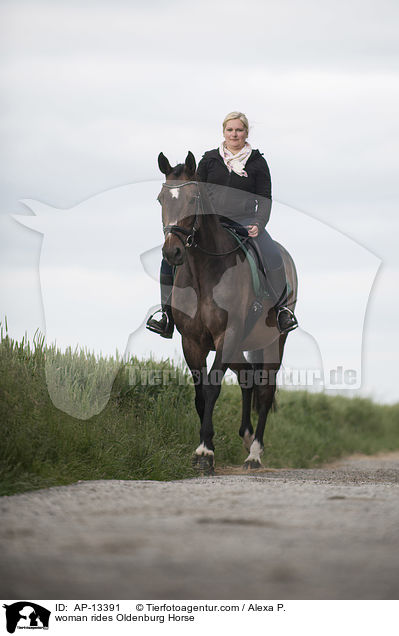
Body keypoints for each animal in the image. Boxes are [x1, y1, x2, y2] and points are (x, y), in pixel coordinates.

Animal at [158, 152, 298, 474]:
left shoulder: (227, 335)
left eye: (193, 198)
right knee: (247, 378)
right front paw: (204, 446)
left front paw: (205, 453)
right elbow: (199, 394)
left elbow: (212, 388)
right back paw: (246, 437)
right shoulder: (192, 341)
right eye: (161, 198)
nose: (172, 253)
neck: (204, 272)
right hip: (241, 346)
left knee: (265, 389)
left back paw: (254, 454)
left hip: (273, 342)